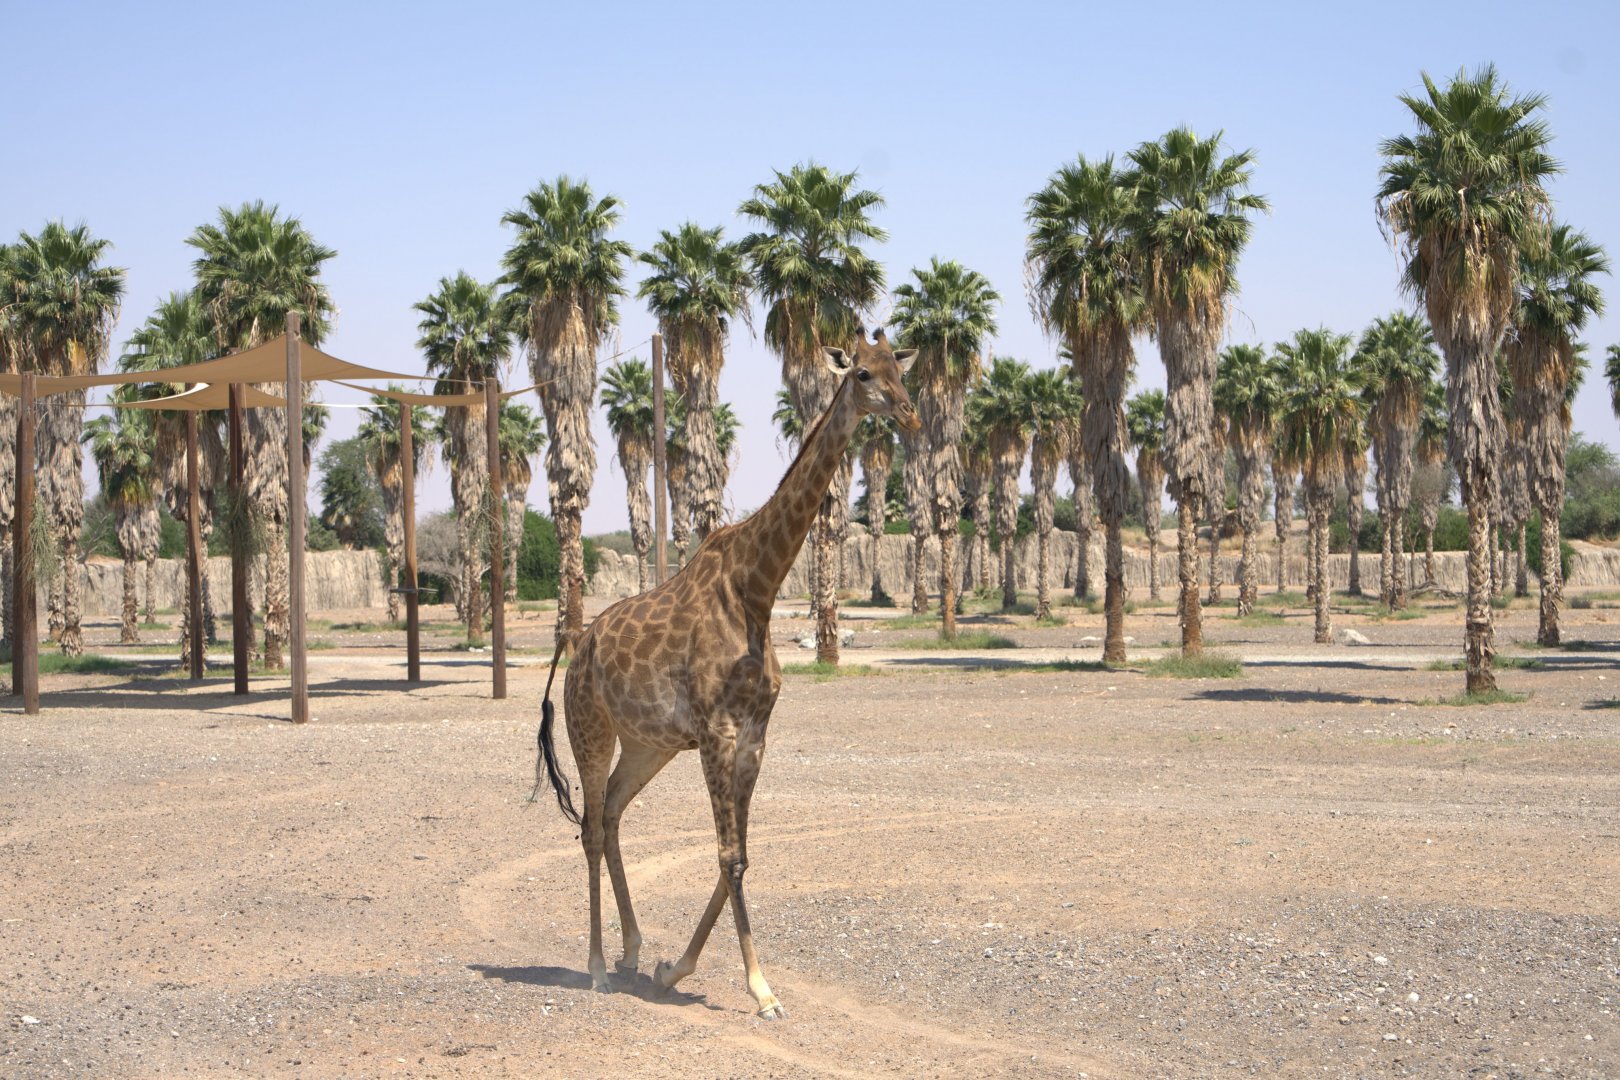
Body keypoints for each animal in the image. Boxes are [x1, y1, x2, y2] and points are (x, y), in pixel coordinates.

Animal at [533, 328, 919, 1019]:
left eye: (900, 371)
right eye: (864, 375)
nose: (909, 414)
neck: (756, 589)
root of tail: (576, 645)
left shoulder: (755, 734)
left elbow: (737, 857)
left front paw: (672, 969)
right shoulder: (717, 731)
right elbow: (729, 855)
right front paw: (760, 990)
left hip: (648, 744)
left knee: (613, 814)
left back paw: (632, 952)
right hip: (590, 729)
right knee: (591, 830)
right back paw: (599, 966)